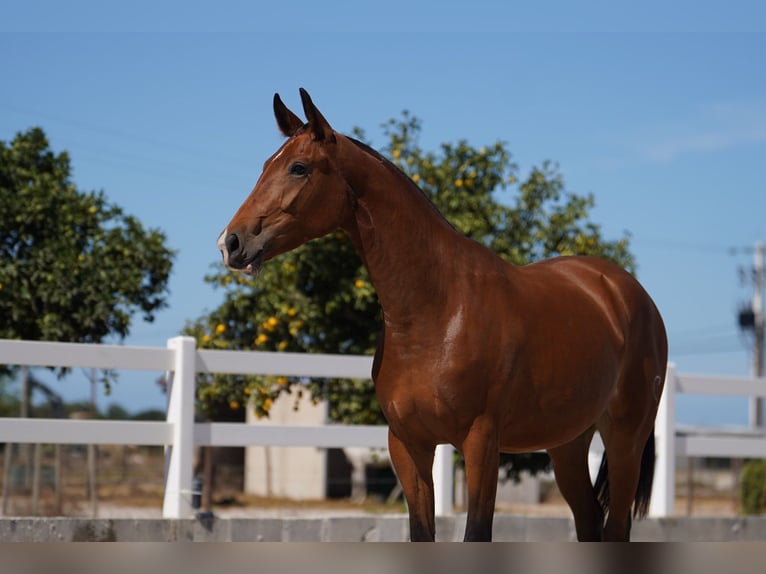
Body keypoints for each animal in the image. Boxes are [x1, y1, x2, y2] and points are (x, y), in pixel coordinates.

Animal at [219, 90, 668, 544]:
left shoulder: (481, 443)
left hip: (625, 438)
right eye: (265, 165)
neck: (436, 311)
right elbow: (421, 532)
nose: (230, 242)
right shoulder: (407, 444)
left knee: (616, 526)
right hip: (568, 443)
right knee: (589, 520)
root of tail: (627, 294)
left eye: (299, 167)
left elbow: (477, 533)